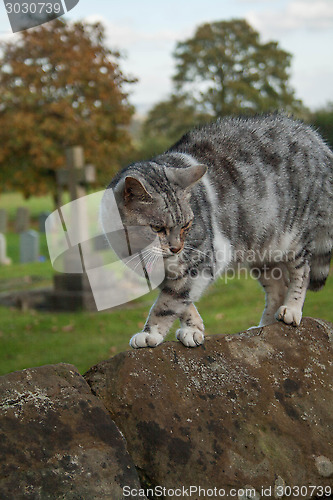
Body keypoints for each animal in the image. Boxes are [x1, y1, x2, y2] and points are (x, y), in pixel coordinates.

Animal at [101, 113, 332, 348]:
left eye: (186, 225)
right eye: (157, 228)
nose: (176, 248)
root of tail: (314, 136)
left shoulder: (203, 259)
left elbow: (168, 302)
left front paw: (150, 333)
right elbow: (181, 300)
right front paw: (193, 328)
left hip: (293, 237)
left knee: (301, 272)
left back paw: (291, 310)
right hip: (262, 248)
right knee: (277, 288)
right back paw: (263, 327)